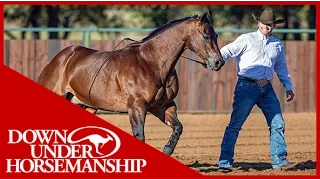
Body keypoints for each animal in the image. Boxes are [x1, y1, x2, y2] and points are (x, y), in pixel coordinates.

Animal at [36, 12, 224, 156]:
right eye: (206, 35)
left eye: (216, 36)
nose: (218, 62)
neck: (151, 63)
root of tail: (59, 59)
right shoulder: (137, 107)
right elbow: (140, 136)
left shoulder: (162, 106)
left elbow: (178, 128)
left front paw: (167, 150)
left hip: (85, 105)